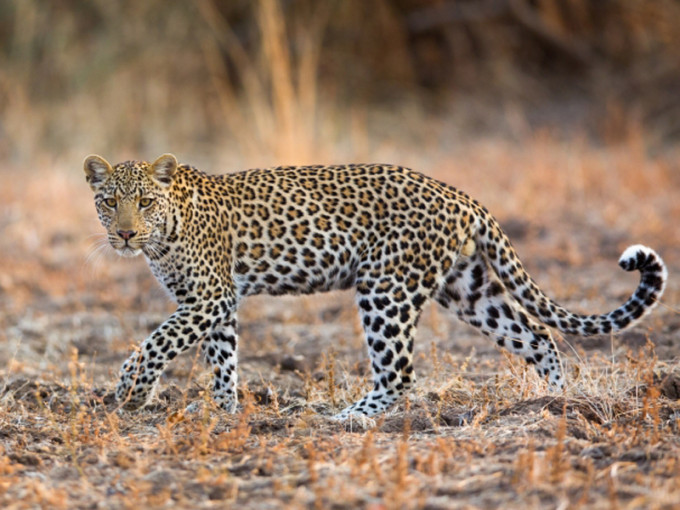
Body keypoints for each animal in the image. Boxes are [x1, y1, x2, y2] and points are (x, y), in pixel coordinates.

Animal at [82, 153, 668, 420]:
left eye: (145, 203)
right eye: (109, 202)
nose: (125, 234)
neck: (166, 233)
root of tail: (461, 196)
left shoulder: (209, 297)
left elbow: (156, 342)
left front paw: (130, 391)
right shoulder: (213, 305)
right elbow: (219, 359)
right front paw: (225, 411)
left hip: (386, 289)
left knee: (400, 373)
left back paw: (346, 419)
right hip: (468, 289)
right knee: (540, 337)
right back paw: (555, 407)